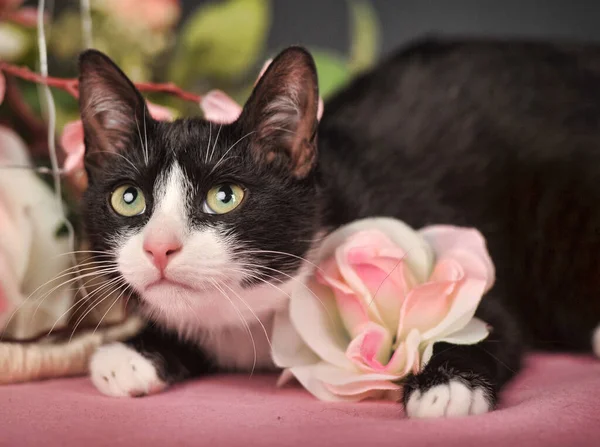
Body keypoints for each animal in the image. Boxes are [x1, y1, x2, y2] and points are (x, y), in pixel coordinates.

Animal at [81, 38, 600, 420]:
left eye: (225, 196)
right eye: (129, 198)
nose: (159, 248)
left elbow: (493, 323)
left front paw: (447, 386)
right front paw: (131, 354)